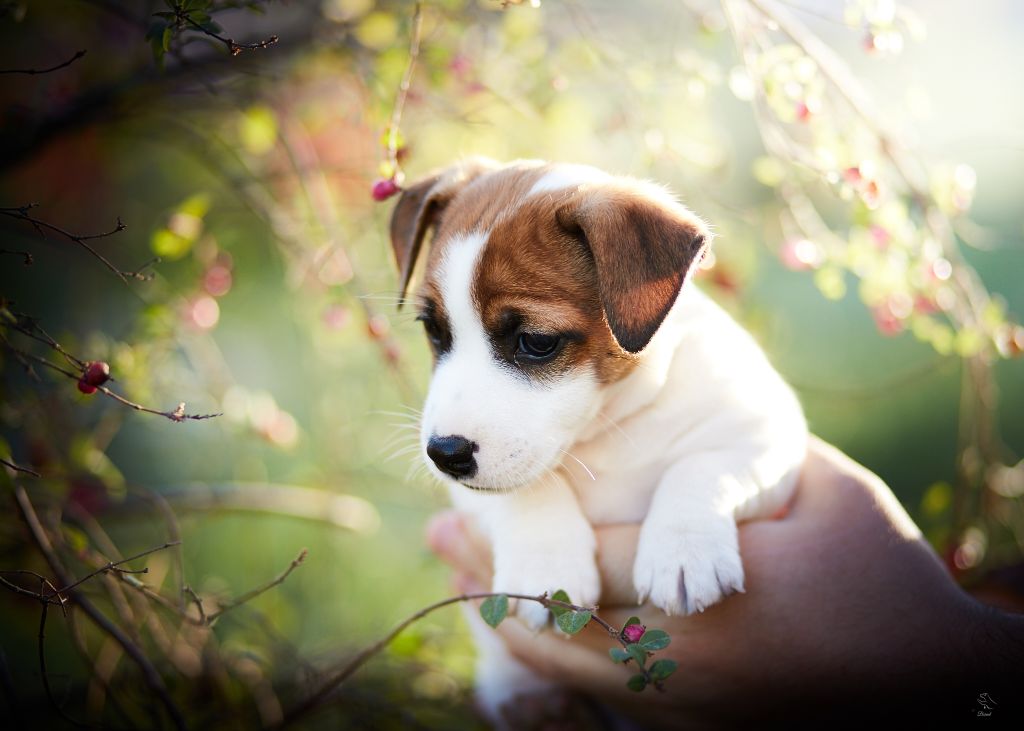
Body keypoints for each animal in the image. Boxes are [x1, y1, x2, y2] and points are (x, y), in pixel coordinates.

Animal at [388, 158, 807, 719]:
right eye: (435, 332)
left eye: (536, 342)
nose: (445, 454)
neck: (608, 426)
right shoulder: (471, 494)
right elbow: (526, 489)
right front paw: (545, 564)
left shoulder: (768, 435)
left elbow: (701, 467)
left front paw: (684, 550)